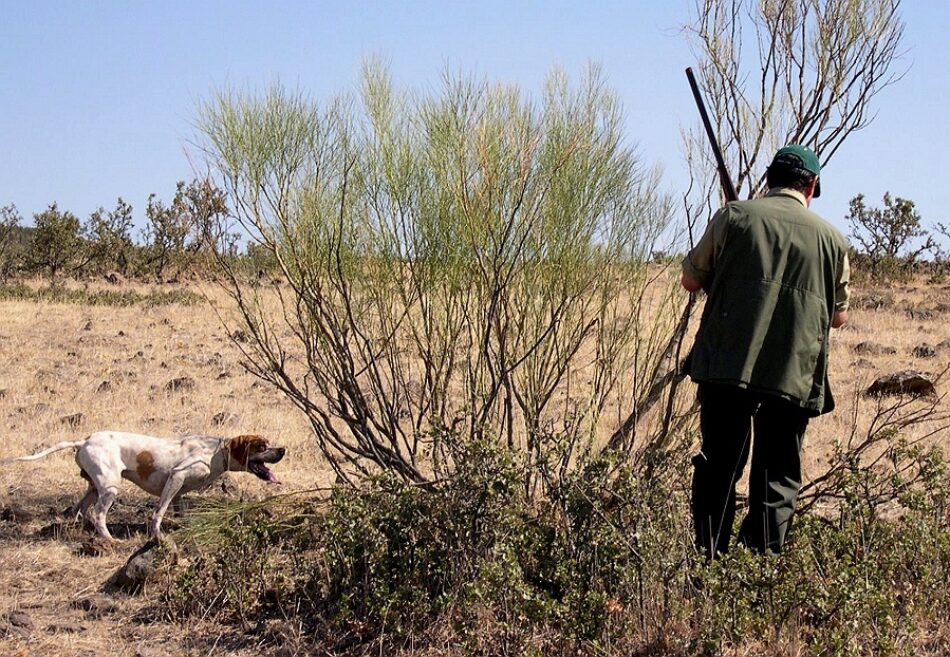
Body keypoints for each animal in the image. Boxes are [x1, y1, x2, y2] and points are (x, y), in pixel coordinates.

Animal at [5, 430, 286, 540]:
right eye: (262, 446)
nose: (282, 450)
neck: (215, 453)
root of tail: (84, 441)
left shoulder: (179, 492)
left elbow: (180, 513)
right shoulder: (175, 478)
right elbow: (158, 513)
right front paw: (157, 535)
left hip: (94, 487)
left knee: (80, 511)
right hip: (110, 487)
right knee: (98, 514)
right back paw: (109, 540)